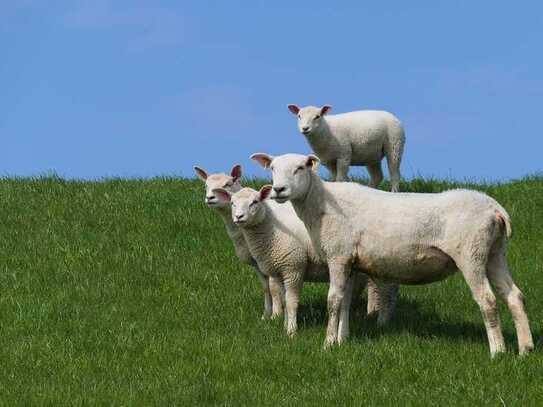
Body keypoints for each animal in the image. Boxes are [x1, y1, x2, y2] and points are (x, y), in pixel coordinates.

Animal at [192, 164, 282, 320]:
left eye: (228, 184)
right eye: (206, 185)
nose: (209, 197)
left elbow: (274, 286)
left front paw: (277, 314)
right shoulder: (256, 261)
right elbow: (265, 287)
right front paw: (266, 314)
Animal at [210, 186, 398, 336]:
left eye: (254, 202)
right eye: (232, 203)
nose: (239, 217)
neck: (271, 231)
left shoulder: (293, 267)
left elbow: (292, 301)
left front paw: (291, 331)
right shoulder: (277, 270)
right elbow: (282, 299)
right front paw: (284, 323)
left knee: (385, 291)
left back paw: (382, 321)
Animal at [254, 153, 536, 356]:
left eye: (301, 167)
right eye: (272, 168)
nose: (278, 190)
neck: (321, 204)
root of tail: (495, 208)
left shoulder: (338, 255)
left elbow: (333, 300)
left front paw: (328, 343)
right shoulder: (351, 262)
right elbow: (345, 301)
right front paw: (342, 340)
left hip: (471, 253)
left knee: (487, 300)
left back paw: (497, 351)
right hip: (495, 253)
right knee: (514, 296)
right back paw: (525, 349)